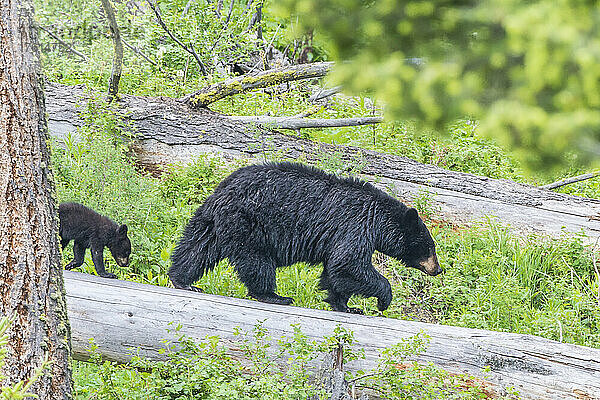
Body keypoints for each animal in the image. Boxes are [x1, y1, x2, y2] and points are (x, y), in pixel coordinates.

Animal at [169, 162, 440, 312]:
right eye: (429, 247)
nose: (438, 269)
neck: (377, 218)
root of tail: (222, 190)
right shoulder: (355, 226)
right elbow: (349, 264)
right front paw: (383, 299)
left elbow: (336, 272)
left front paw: (346, 306)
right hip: (250, 224)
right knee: (256, 260)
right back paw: (274, 296)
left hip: (213, 221)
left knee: (197, 246)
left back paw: (182, 280)